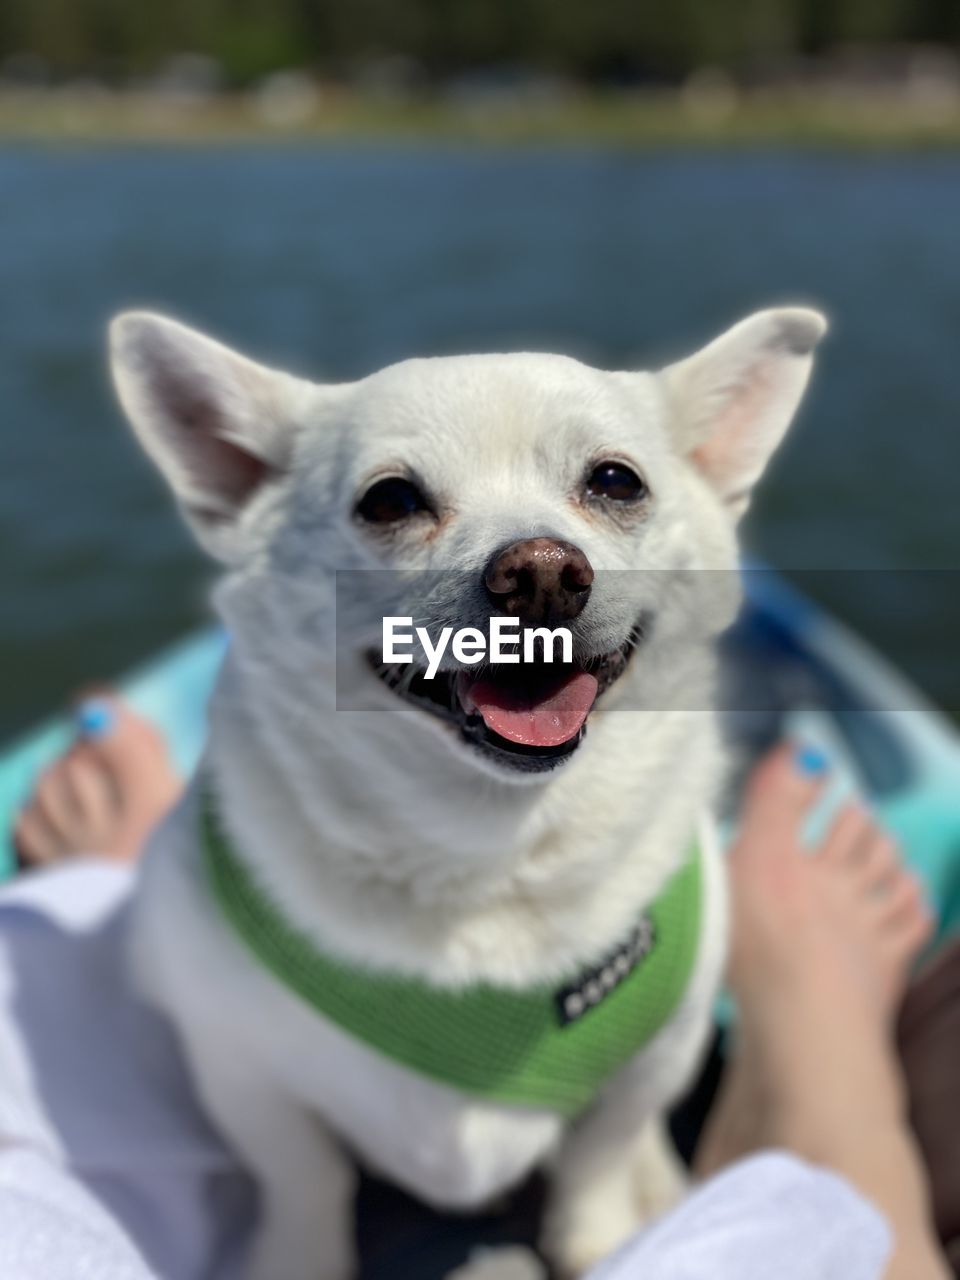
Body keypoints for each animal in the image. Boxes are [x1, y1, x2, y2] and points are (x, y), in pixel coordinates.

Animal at [110, 309, 829, 1280]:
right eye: (389, 501)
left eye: (615, 481)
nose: (542, 570)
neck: (489, 852)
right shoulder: (243, 1070)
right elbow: (302, 1179)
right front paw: (298, 1259)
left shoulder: (653, 1059)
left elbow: (600, 1155)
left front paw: (602, 1239)